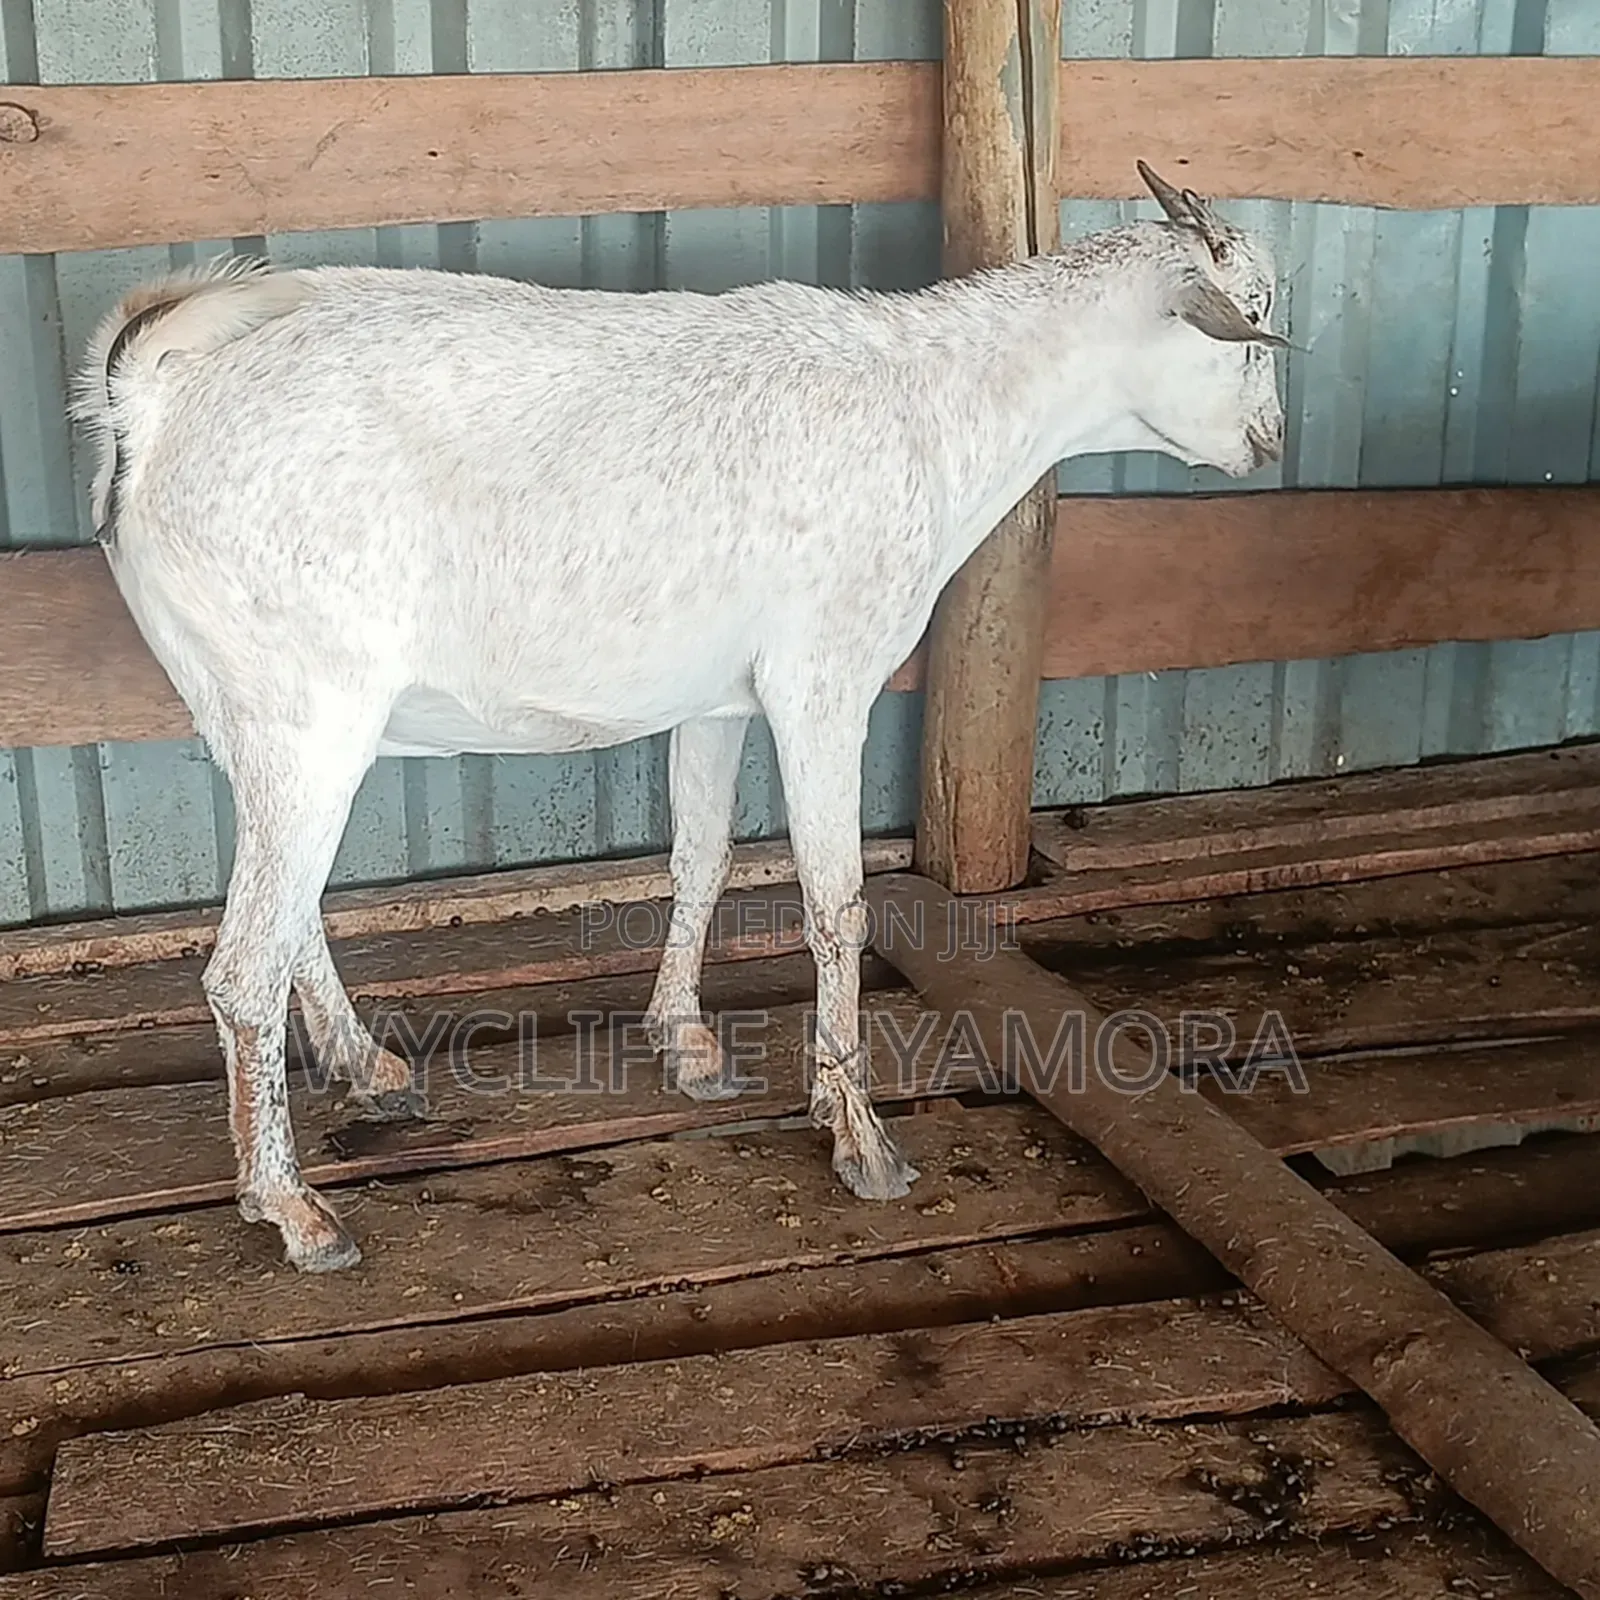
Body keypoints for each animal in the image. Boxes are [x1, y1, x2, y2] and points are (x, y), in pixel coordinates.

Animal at [72, 162, 1287, 1273]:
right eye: (1254, 321)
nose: (1272, 442)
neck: (937, 406)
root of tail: (149, 394)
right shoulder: (822, 677)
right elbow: (835, 902)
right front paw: (859, 1137)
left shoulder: (717, 699)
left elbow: (700, 855)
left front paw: (685, 1040)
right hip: (307, 710)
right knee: (241, 966)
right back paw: (293, 1208)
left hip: (253, 711)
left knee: (290, 913)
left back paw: (366, 1067)